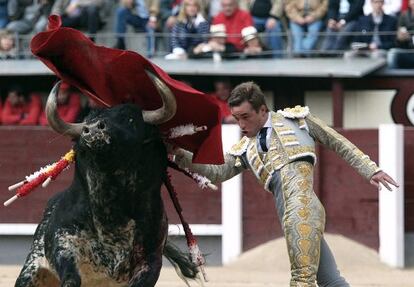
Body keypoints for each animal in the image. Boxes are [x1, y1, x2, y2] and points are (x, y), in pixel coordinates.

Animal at [14, 70, 199, 287]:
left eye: (129, 118)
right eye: (87, 121)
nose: (93, 129)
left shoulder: (150, 261)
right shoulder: (64, 242)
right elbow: (70, 274)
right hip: (30, 271)